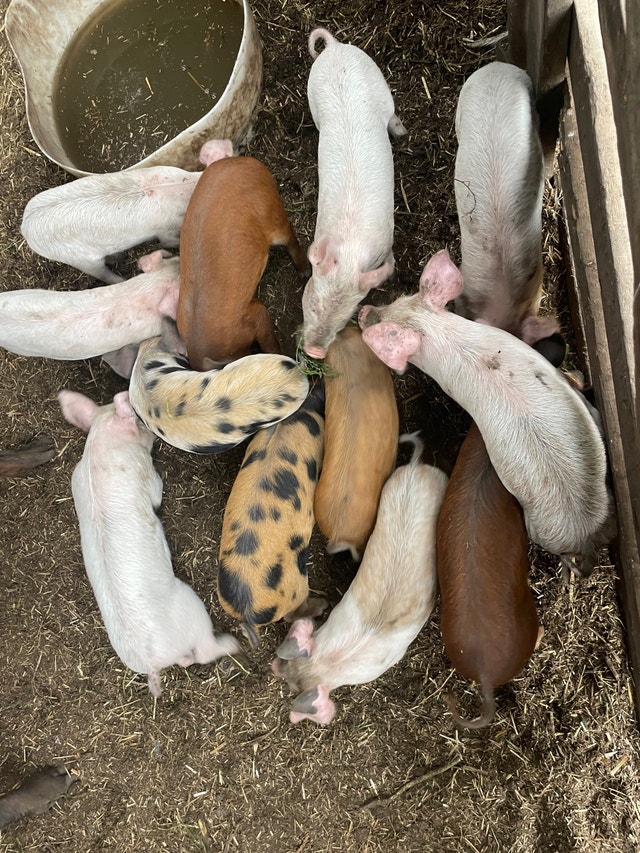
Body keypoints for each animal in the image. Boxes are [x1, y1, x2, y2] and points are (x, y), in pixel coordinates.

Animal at [58, 389, 242, 696]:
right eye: (139, 421)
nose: (154, 434)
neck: (99, 447)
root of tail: (152, 661)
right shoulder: (145, 472)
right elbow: (156, 494)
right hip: (192, 608)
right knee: (204, 652)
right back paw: (233, 643)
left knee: (187, 660)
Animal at [176, 155, 309, 369]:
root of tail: (245, 161)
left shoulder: (254, 316)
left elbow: (270, 343)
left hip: (273, 213)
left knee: (290, 236)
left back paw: (305, 272)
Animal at [301, 28, 407, 359]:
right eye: (313, 301)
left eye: (347, 316)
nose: (315, 352)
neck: (350, 246)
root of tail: (335, 48)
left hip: (378, 80)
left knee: (392, 113)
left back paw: (402, 132)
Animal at [359, 249, 615, 578]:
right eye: (399, 299)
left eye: (390, 334)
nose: (363, 312)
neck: (441, 337)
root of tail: (586, 533)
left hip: (538, 526)